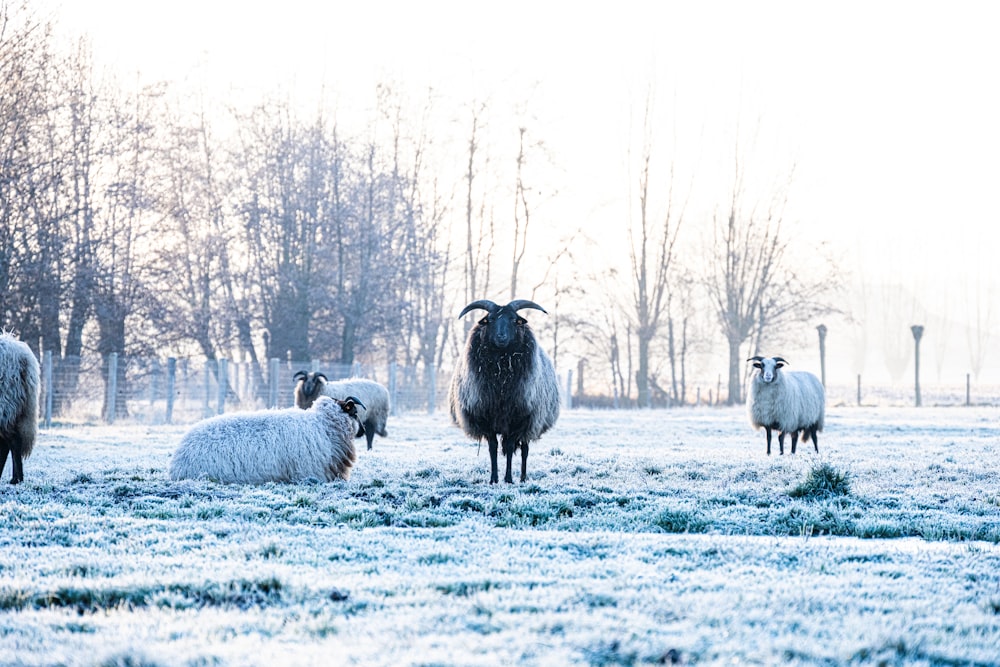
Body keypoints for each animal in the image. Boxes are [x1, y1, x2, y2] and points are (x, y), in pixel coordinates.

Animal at [450, 302, 560, 486]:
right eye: (491, 319)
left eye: (514, 320)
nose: (501, 337)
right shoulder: (487, 419)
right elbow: (493, 448)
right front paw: (493, 479)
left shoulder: (515, 419)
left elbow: (509, 448)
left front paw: (508, 478)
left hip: (529, 423)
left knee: (524, 450)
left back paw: (523, 478)